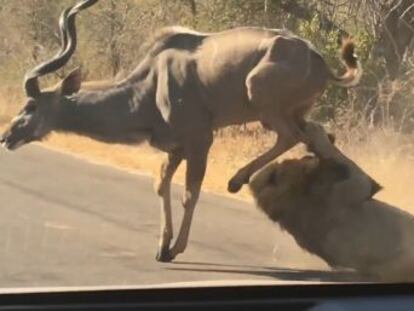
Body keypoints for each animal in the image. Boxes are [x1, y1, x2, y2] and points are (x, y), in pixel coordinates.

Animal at [1, 0, 360, 264]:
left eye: (30, 106)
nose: (6, 137)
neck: (150, 85)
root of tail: (320, 62)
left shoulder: (199, 140)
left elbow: (189, 192)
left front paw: (174, 249)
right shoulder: (174, 147)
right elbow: (161, 184)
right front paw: (161, 247)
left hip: (261, 99)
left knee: (294, 136)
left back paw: (237, 180)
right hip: (290, 112)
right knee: (317, 133)